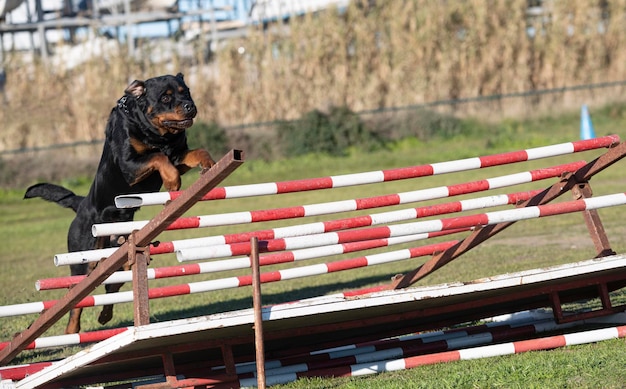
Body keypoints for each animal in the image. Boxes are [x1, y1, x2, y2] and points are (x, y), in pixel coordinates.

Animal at [25, 73, 214, 334]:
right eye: (165, 97)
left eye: (186, 92)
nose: (190, 106)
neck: (157, 133)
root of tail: (81, 205)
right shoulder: (130, 164)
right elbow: (158, 157)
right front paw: (172, 181)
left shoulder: (178, 155)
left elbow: (195, 152)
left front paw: (209, 164)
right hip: (85, 258)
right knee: (77, 297)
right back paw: (72, 331)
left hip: (119, 256)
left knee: (112, 287)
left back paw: (105, 316)